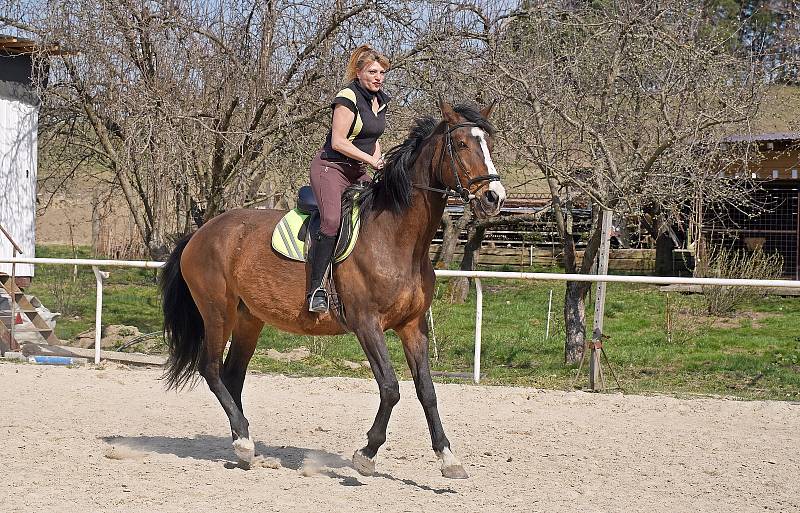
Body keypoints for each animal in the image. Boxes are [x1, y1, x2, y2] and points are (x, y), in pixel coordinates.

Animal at [159, 99, 506, 476]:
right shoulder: (367, 323)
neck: (397, 239)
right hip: (217, 312)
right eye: (461, 144)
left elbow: (427, 390)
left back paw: (245, 445)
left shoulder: (412, 326)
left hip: (249, 318)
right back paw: (244, 443)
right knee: (210, 370)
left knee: (232, 376)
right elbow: (390, 388)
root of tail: (201, 232)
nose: (494, 197)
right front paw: (367, 454)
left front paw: (448, 458)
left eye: (489, 143)